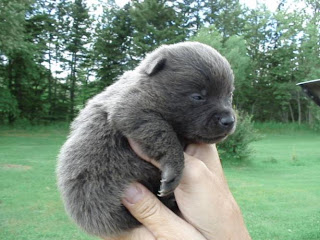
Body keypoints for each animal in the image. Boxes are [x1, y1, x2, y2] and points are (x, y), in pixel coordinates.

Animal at [57, 41, 236, 238]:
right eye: (198, 96)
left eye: (229, 95)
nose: (229, 120)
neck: (150, 87)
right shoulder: (131, 108)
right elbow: (163, 134)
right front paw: (174, 169)